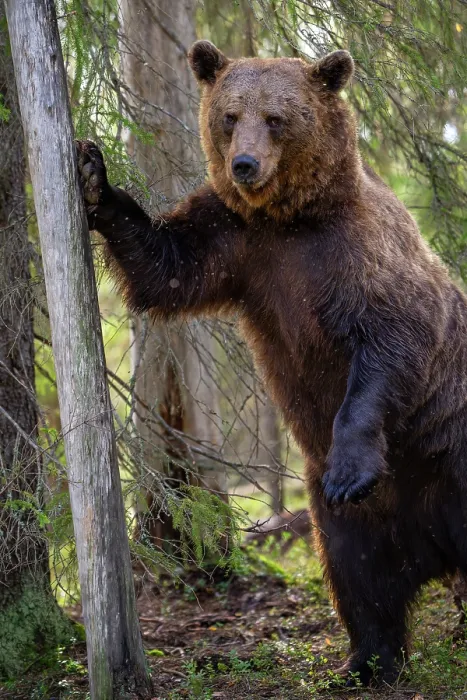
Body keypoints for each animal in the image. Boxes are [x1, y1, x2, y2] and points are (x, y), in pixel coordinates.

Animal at [77, 41, 467, 685]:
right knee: (360, 576)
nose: (244, 165)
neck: (288, 219)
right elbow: (167, 266)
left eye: (277, 118)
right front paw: (93, 177)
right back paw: (365, 663)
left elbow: (392, 342)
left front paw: (349, 468)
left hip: (449, 455)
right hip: (357, 524)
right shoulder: (238, 245)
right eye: (230, 115)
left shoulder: (357, 257)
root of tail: (433, 546)